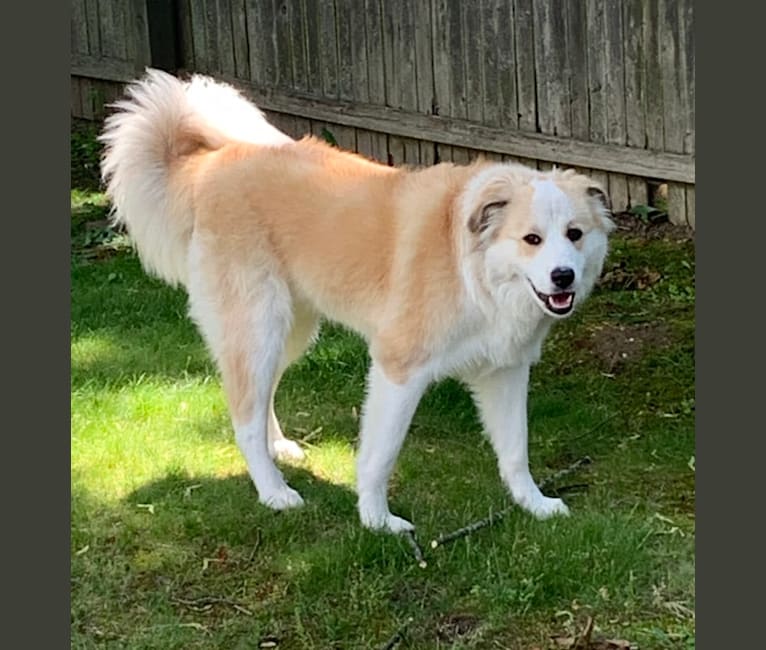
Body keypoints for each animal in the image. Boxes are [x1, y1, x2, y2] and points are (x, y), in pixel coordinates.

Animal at [100, 69, 616, 532]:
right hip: (258, 328)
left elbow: (515, 451)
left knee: (258, 398)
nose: (563, 277)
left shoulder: (504, 373)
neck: (475, 272)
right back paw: (274, 491)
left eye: (574, 234)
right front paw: (377, 522)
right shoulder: (398, 369)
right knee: (243, 414)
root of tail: (215, 163)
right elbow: (379, 457)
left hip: (291, 332)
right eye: (532, 239)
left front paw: (535, 504)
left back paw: (278, 448)